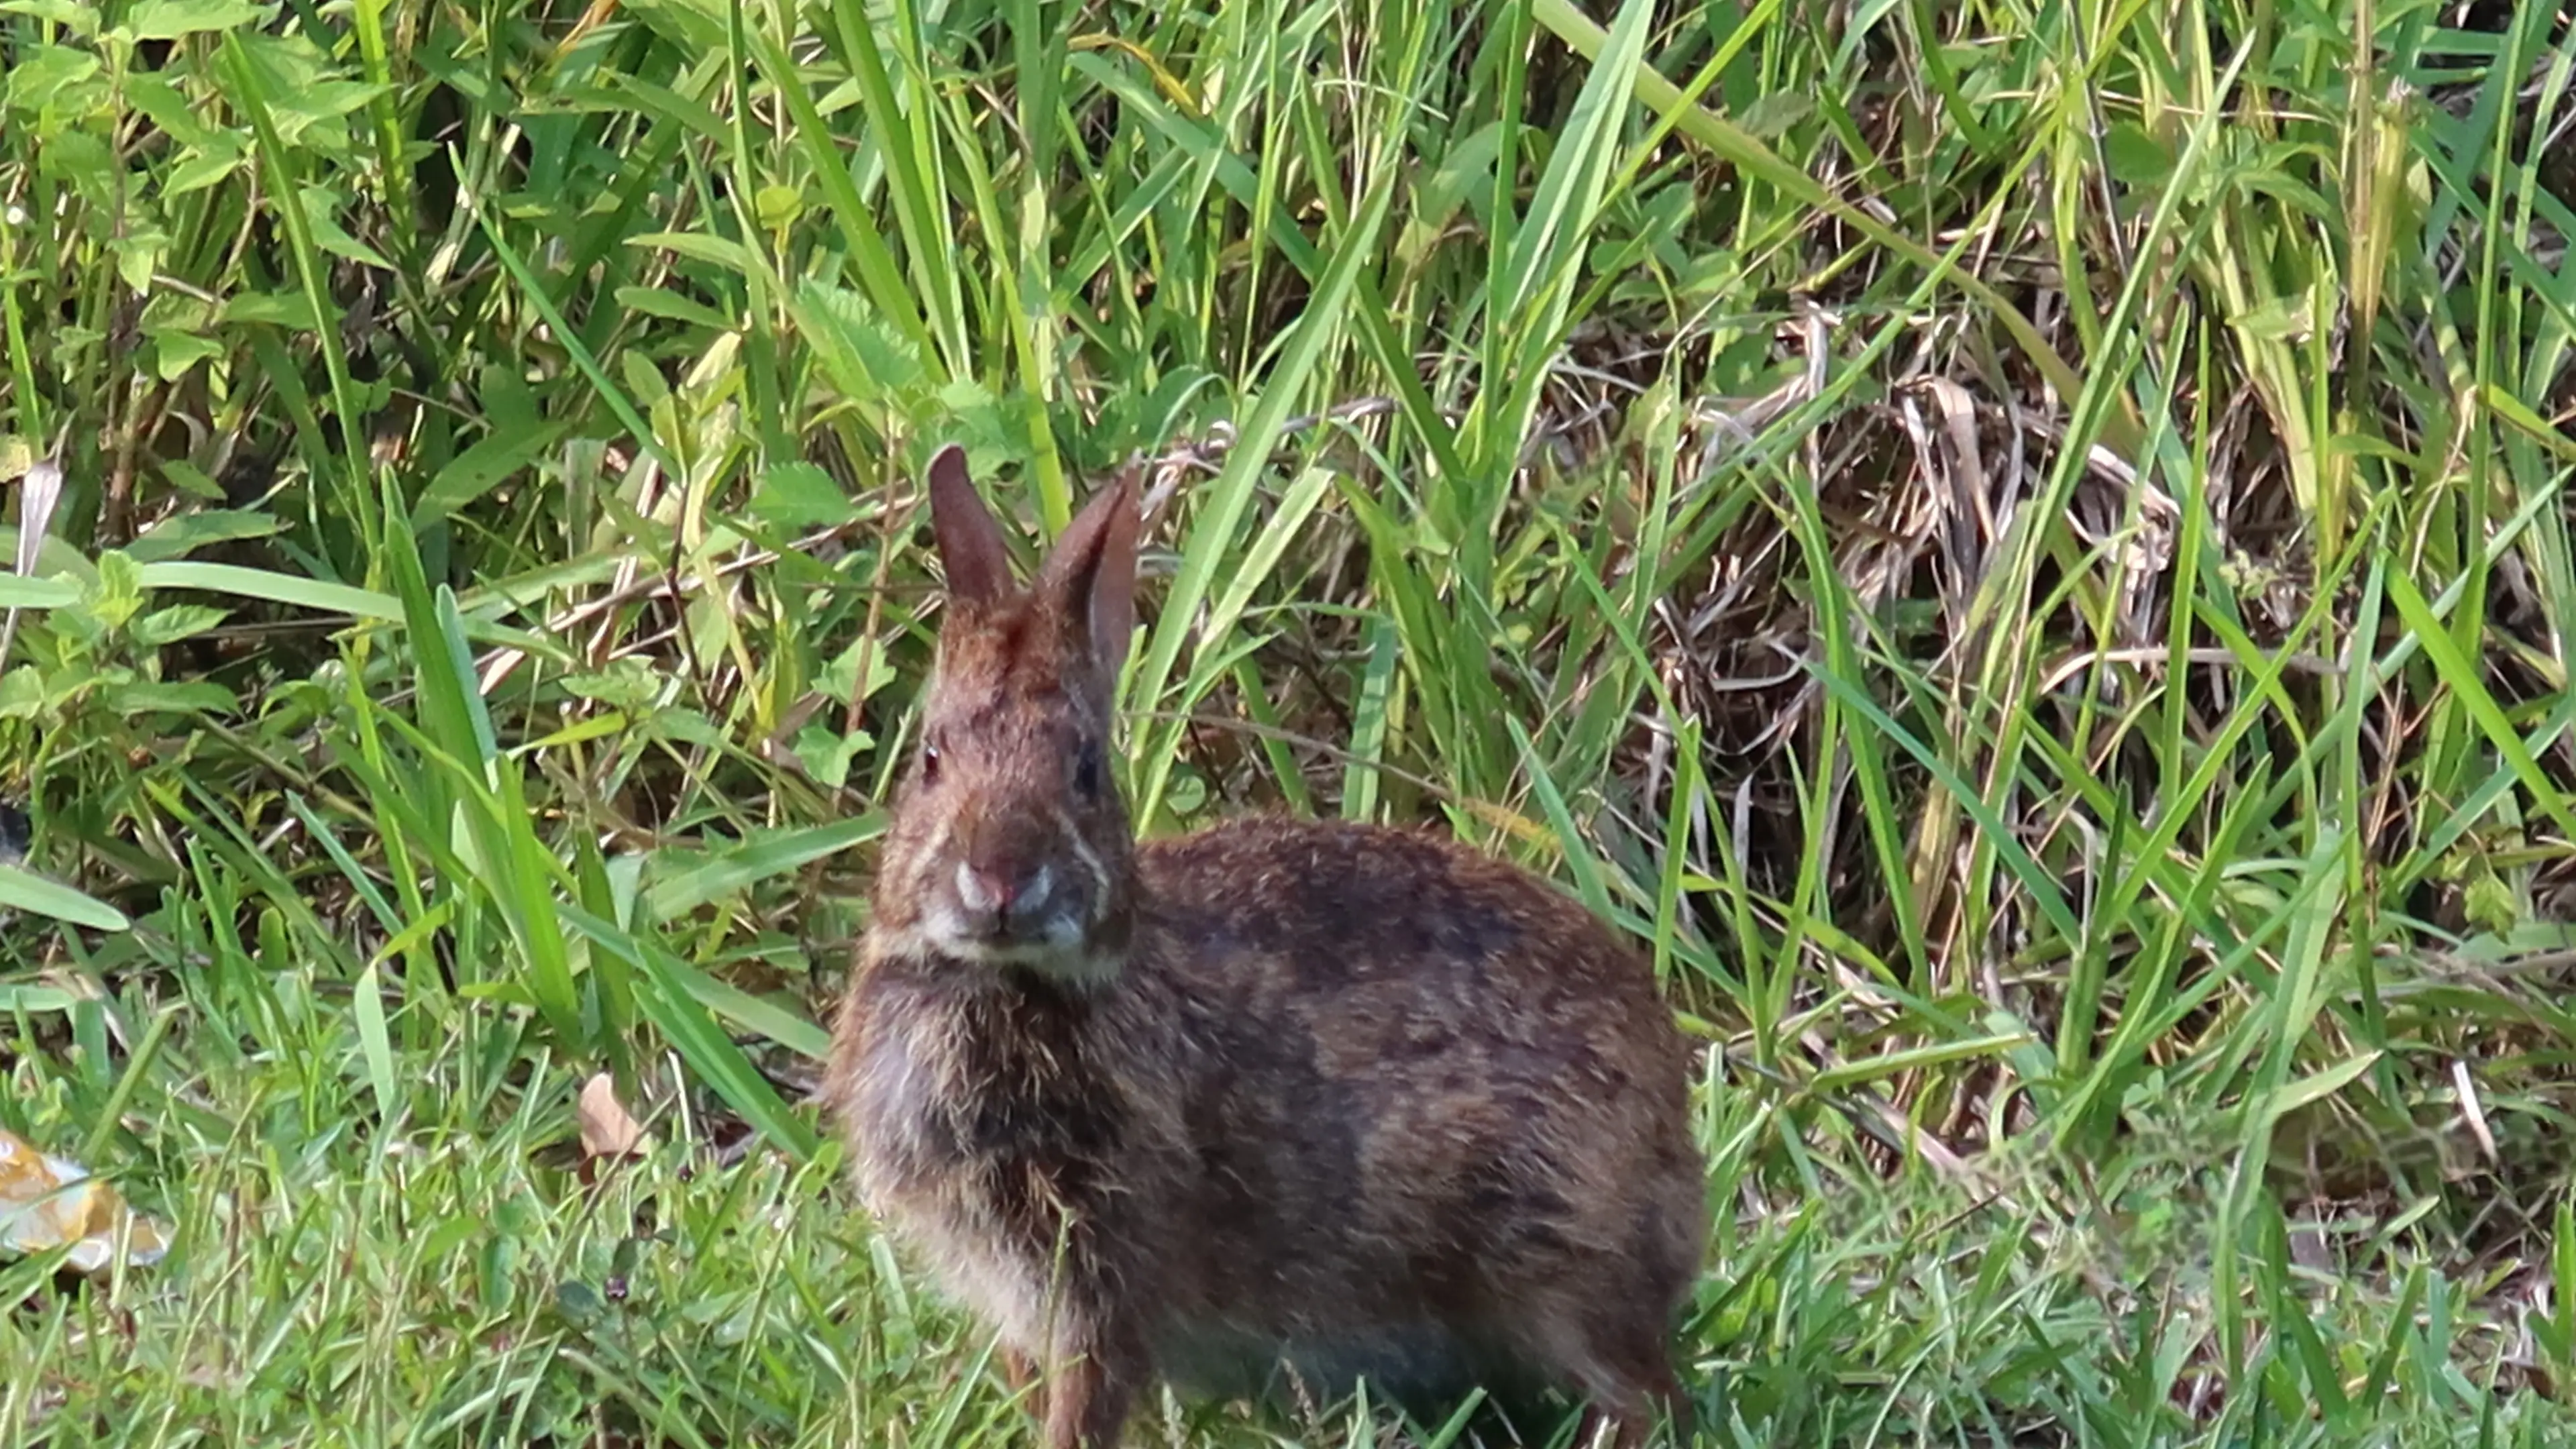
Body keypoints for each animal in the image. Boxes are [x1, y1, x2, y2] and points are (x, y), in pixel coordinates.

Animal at [825, 444, 1710, 1449]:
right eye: (930, 760)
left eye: (1086, 773)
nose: (1002, 879)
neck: (1003, 983)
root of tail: (1676, 1157)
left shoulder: (1104, 1280)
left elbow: (1088, 1399)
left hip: (1551, 1260)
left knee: (1640, 1396)